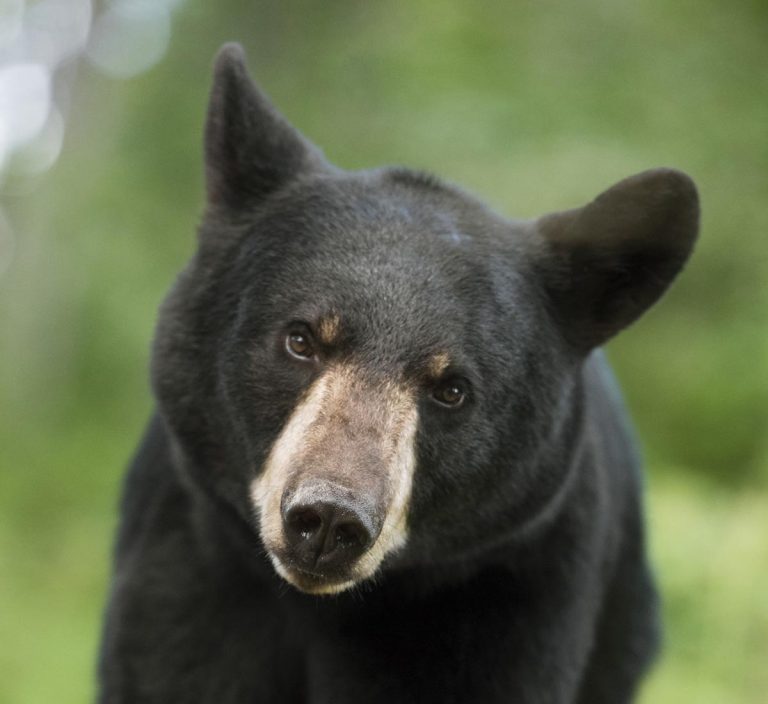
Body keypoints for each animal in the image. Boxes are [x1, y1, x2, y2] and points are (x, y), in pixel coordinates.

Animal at [96, 45, 696, 704]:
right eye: (301, 339)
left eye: (452, 389)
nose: (329, 520)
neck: (317, 607)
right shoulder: (190, 573)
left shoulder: (506, 596)